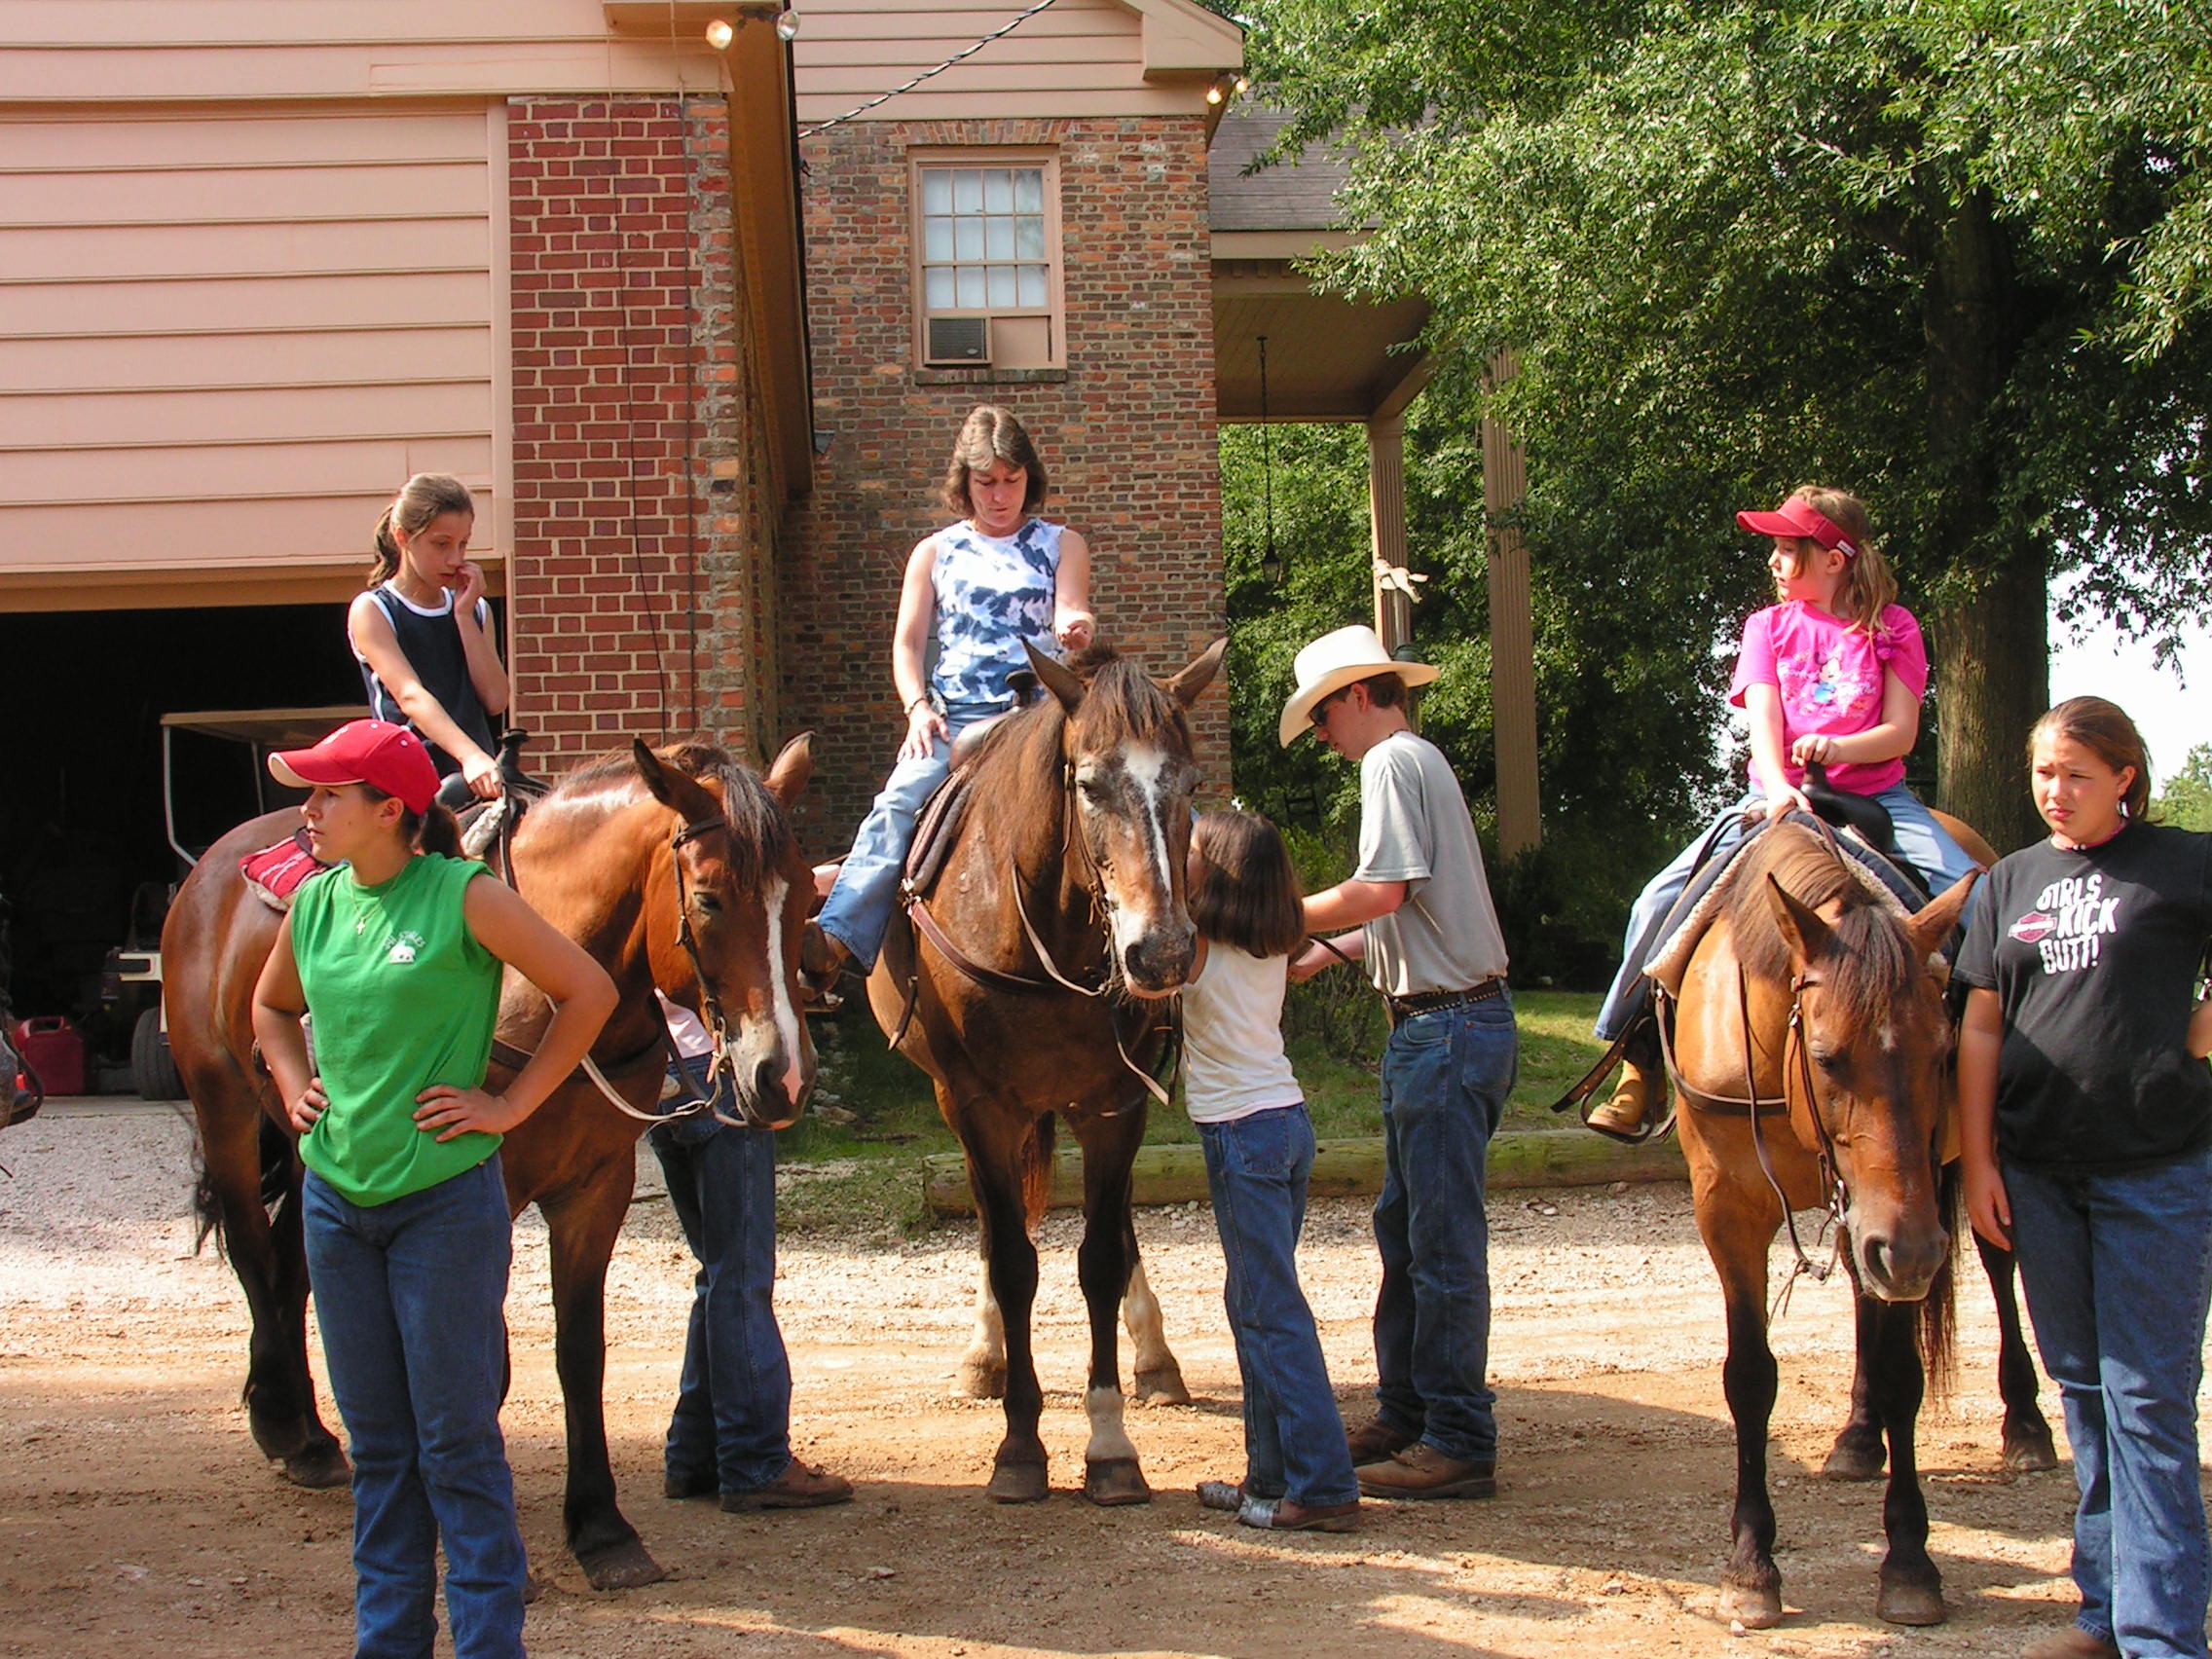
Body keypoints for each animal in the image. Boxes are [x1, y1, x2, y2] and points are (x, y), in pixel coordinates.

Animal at [867, 638, 1223, 1504]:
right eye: (1089, 784)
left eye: (1191, 784)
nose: (1162, 953)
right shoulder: (979, 1105)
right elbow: (1014, 1261)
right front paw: (1021, 1444)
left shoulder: (1117, 1105)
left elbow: (1099, 1257)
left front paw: (1111, 1443)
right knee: (995, 1230)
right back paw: (984, 1354)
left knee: (1115, 1228)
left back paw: (1155, 1360)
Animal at [1665, 819, 1978, 1629]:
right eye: (1828, 1057)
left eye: (1942, 1052)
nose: (1912, 1253)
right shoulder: (1729, 1212)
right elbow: (1749, 1377)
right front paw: (1751, 1564)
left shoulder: (1905, 1212)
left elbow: (1904, 1375)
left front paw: (1909, 1561)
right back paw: (1859, 1440)